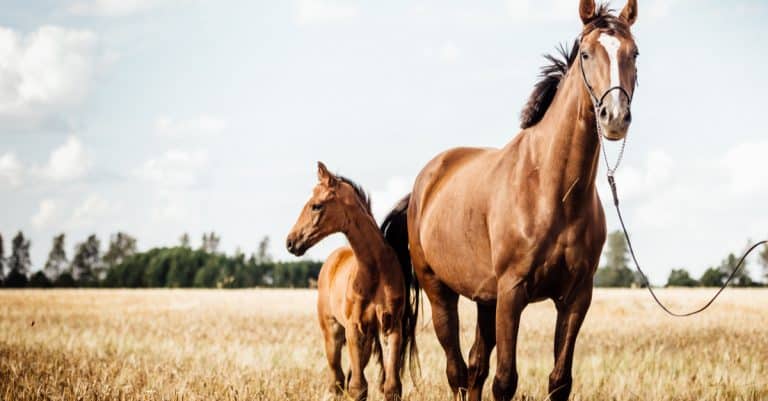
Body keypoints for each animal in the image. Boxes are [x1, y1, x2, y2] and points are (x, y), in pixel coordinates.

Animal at [284, 162, 416, 400]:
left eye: (316, 206)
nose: (290, 242)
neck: (374, 271)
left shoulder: (391, 327)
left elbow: (391, 387)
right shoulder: (354, 327)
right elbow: (357, 387)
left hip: (366, 341)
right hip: (332, 332)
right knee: (336, 379)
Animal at [384, 0, 640, 400]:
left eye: (634, 53)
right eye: (586, 53)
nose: (614, 116)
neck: (552, 192)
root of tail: (422, 186)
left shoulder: (576, 298)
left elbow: (559, 380)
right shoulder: (512, 293)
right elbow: (505, 381)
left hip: (485, 299)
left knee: (475, 367)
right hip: (441, 292)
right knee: (457, 371)